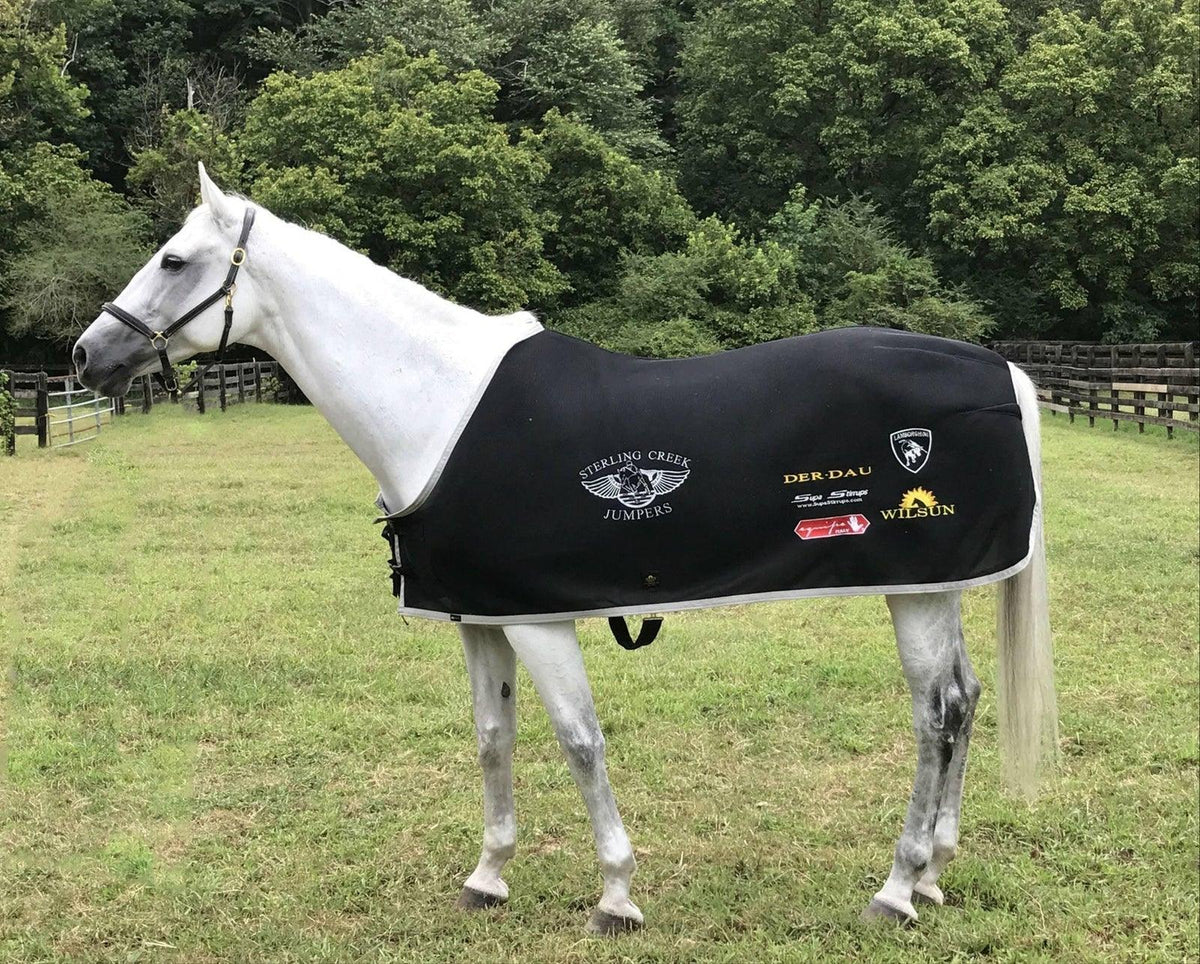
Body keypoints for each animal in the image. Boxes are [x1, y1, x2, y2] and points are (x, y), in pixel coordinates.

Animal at [72, 165, 1058, 932]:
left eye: (174, 260)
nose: (88, 355)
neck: (437, 407)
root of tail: (1001, 373)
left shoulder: (540, 618)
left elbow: (580, 740)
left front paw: (615, 896)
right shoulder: (481, 616)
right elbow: (492, 739)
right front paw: (488, 877)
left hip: (917, 590)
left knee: (936, 715)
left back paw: (896, 888)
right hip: (937, 587)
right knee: (967, 699)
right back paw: (934, 873)